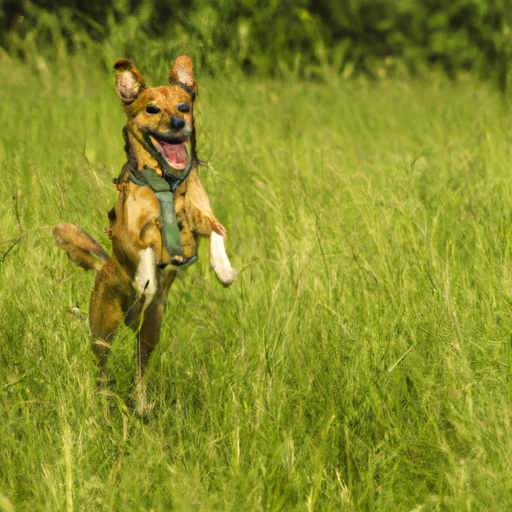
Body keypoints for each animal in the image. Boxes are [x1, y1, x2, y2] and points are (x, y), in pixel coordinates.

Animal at [52, 57, 236, 392]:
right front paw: (145, 282)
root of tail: (103, 268)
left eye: (183, 106)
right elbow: (146, 260)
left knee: (140, 370)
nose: (177, 123)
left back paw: (140, 399)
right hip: (102, 330)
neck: (166, 181)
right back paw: (104, 392)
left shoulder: (201, 213)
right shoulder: (133, 235)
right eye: (152, 109)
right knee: (101, 366)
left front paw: (224, 270)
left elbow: (216, 231)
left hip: (150, 333)